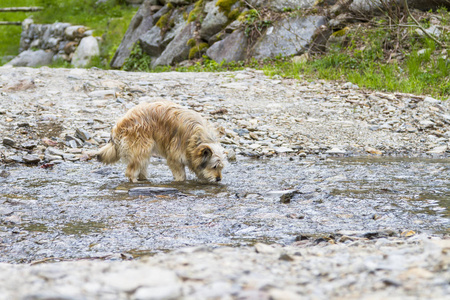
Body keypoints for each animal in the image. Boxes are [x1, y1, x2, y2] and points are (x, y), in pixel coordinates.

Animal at [97, 101, 225, 183]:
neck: (196, 137)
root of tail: (118, 126)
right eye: (214, 167)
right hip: (141, 147)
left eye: (221, 168)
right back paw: (135, 181)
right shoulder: (175, 156)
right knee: (131, 171)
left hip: (143, 151)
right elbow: (181, 175)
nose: (219, 179)